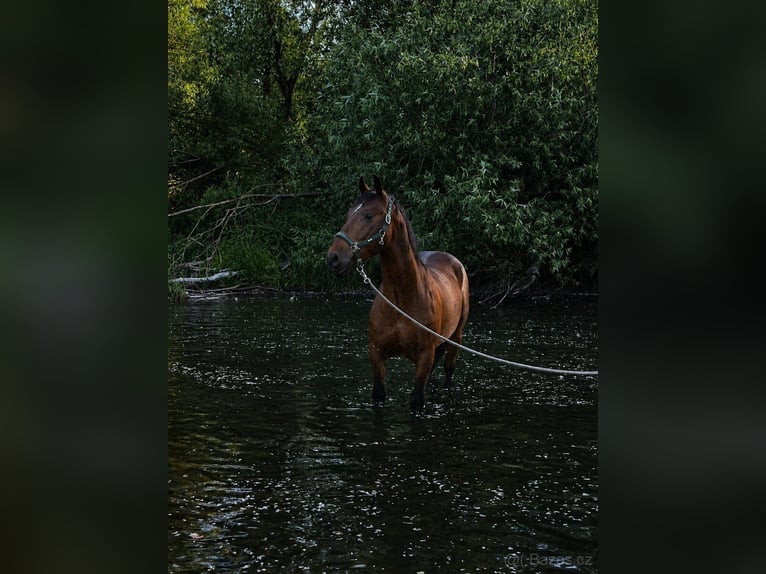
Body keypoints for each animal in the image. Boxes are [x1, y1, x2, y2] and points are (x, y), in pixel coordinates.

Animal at [326, 176, 470, 412]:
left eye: (368, 215)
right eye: (348, 214)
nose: (334, 258)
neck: (402, 299)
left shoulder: (424, 357)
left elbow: (417, 400)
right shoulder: (376, 354)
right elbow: (379, 395)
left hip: (455, 338)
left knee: (449, 371)